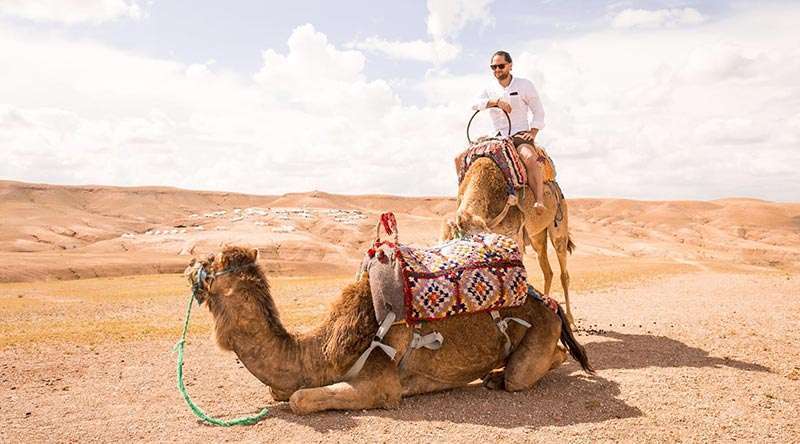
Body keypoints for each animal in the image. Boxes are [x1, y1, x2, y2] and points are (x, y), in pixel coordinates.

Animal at [185, 246, 592, 415]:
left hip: (538, 334)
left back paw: (500, 376)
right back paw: (493, 375)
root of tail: (547, 302)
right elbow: (279, 390)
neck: (319, 352)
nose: (188, 265)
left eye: (210, 262)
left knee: (525, 372)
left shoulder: (379, 385)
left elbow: (300, 399)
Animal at [443, 157, 576, 325]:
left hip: (559, 224)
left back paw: (570, 319)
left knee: (563, 272)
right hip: (537, 236)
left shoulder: (514, 235)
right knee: (547, 270)